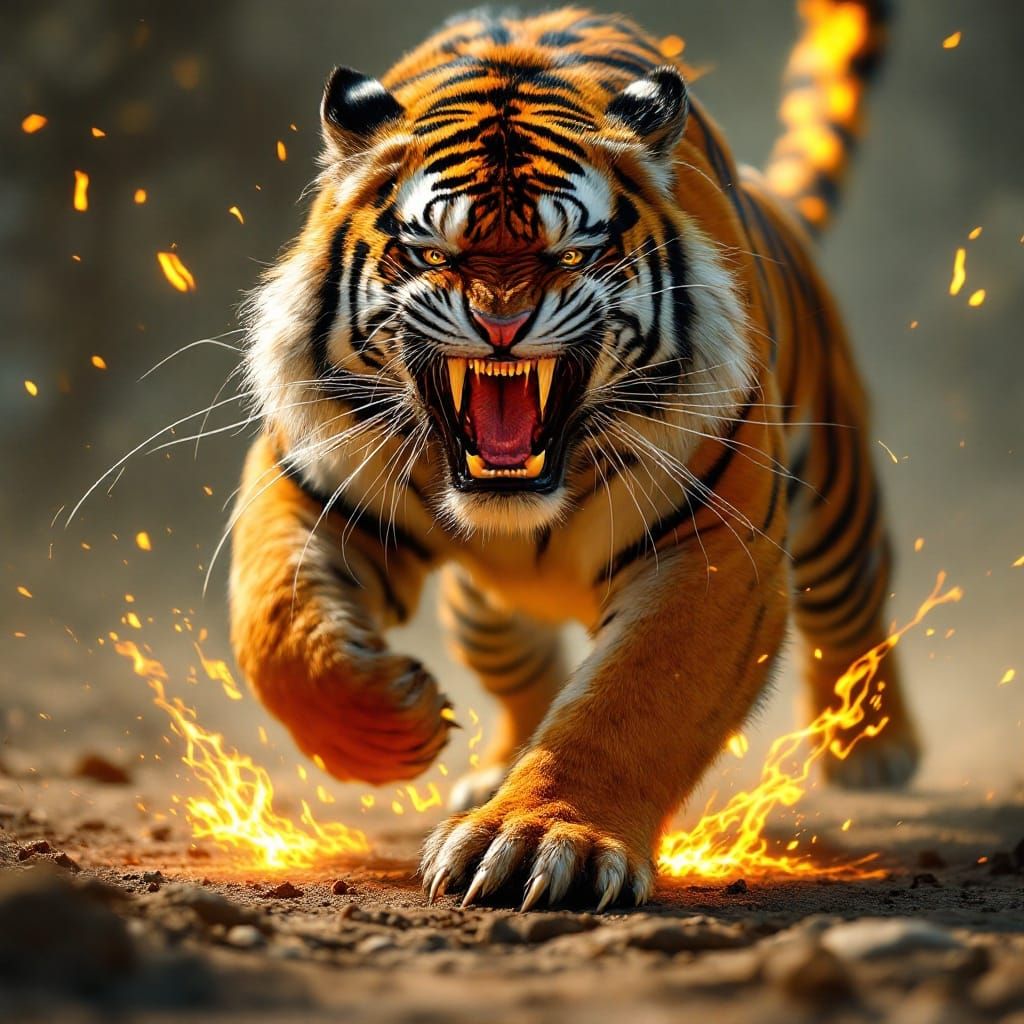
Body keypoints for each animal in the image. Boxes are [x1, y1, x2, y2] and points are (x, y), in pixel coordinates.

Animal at [230, 0, 915, 911]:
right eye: (434, 253)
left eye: (571, 256)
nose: (501, 324)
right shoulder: (309, 483)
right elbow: (277, 629)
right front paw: (390, 724)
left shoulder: (713, 550)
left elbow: (629, 703)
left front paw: (535, 839)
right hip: (483, 610)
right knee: (522, 671)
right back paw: (492, 770)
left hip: (837, 511)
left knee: (854, 610)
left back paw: (875, 750)